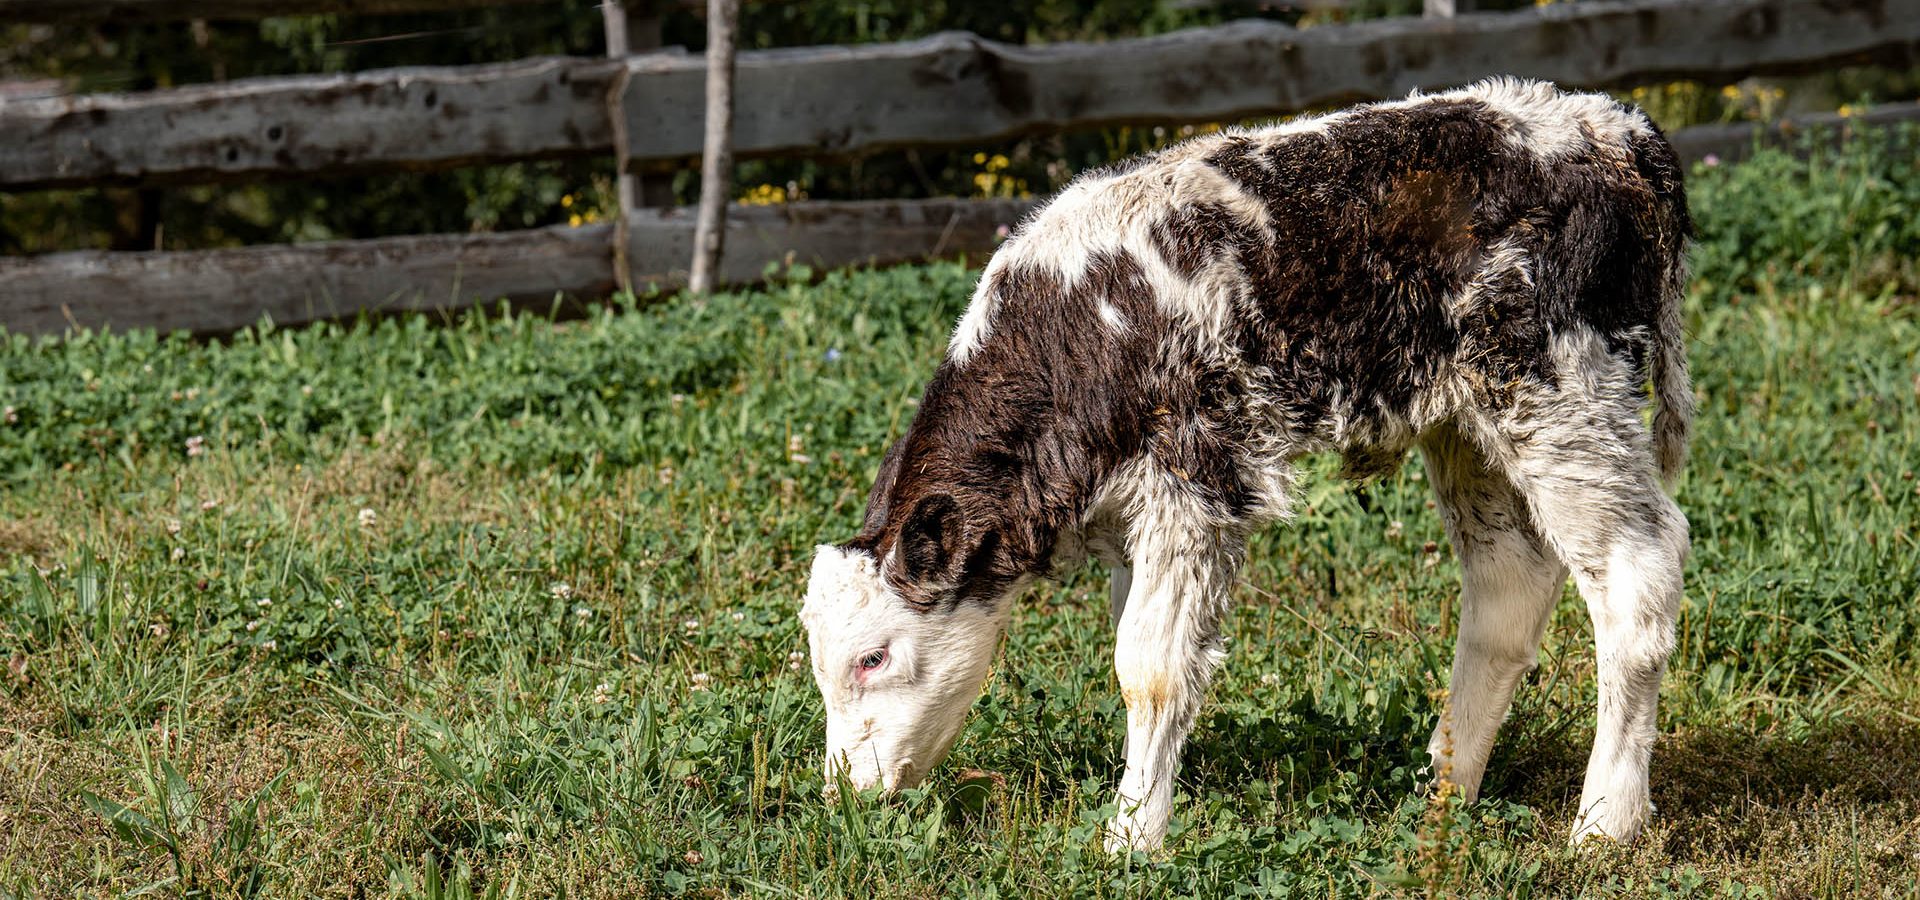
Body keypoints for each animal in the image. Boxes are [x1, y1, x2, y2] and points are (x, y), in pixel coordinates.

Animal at [802, 79, 1689, 848]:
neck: (1078, 329)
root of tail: (1610, 126)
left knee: (1635, 579)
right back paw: (1444, 794)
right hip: (1469, 425)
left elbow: (1150, 668)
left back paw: (1605, 822)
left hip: (1567, 396)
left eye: (872, 657)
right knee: (1509, 584)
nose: (846, 794)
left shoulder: (1192, 485)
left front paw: (1130, 840)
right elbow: (1135, 646)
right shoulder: (1134, 522)